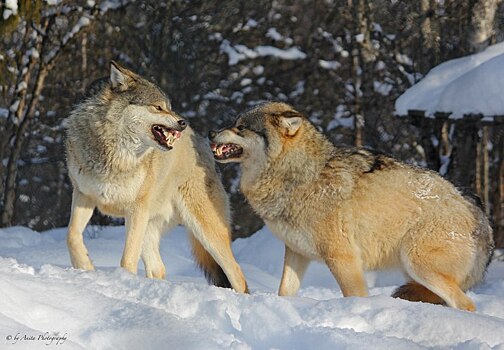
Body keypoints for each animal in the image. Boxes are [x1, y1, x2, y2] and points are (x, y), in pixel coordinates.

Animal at [63, 60, 248, 292]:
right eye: (158, 107)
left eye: (168, 107)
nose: (183, 122)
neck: (115, 155)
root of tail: (201, 142)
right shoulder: (84, 196)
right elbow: (71, 235)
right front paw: (85, 266)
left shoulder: (136, 210)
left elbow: (127, 259)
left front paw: (123, 280)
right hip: (149, 227)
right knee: (158, 269)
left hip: (204, 230)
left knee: (237, 273)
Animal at [208, 100, 492, 308]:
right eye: (234, 124)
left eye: (241, 127)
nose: (210, 131)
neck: (300, 175)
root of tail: (481, 216)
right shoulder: (296, 253)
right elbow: (284, 291)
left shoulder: (343, 258)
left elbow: (354, 295)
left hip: (419, 266)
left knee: (466, 305)